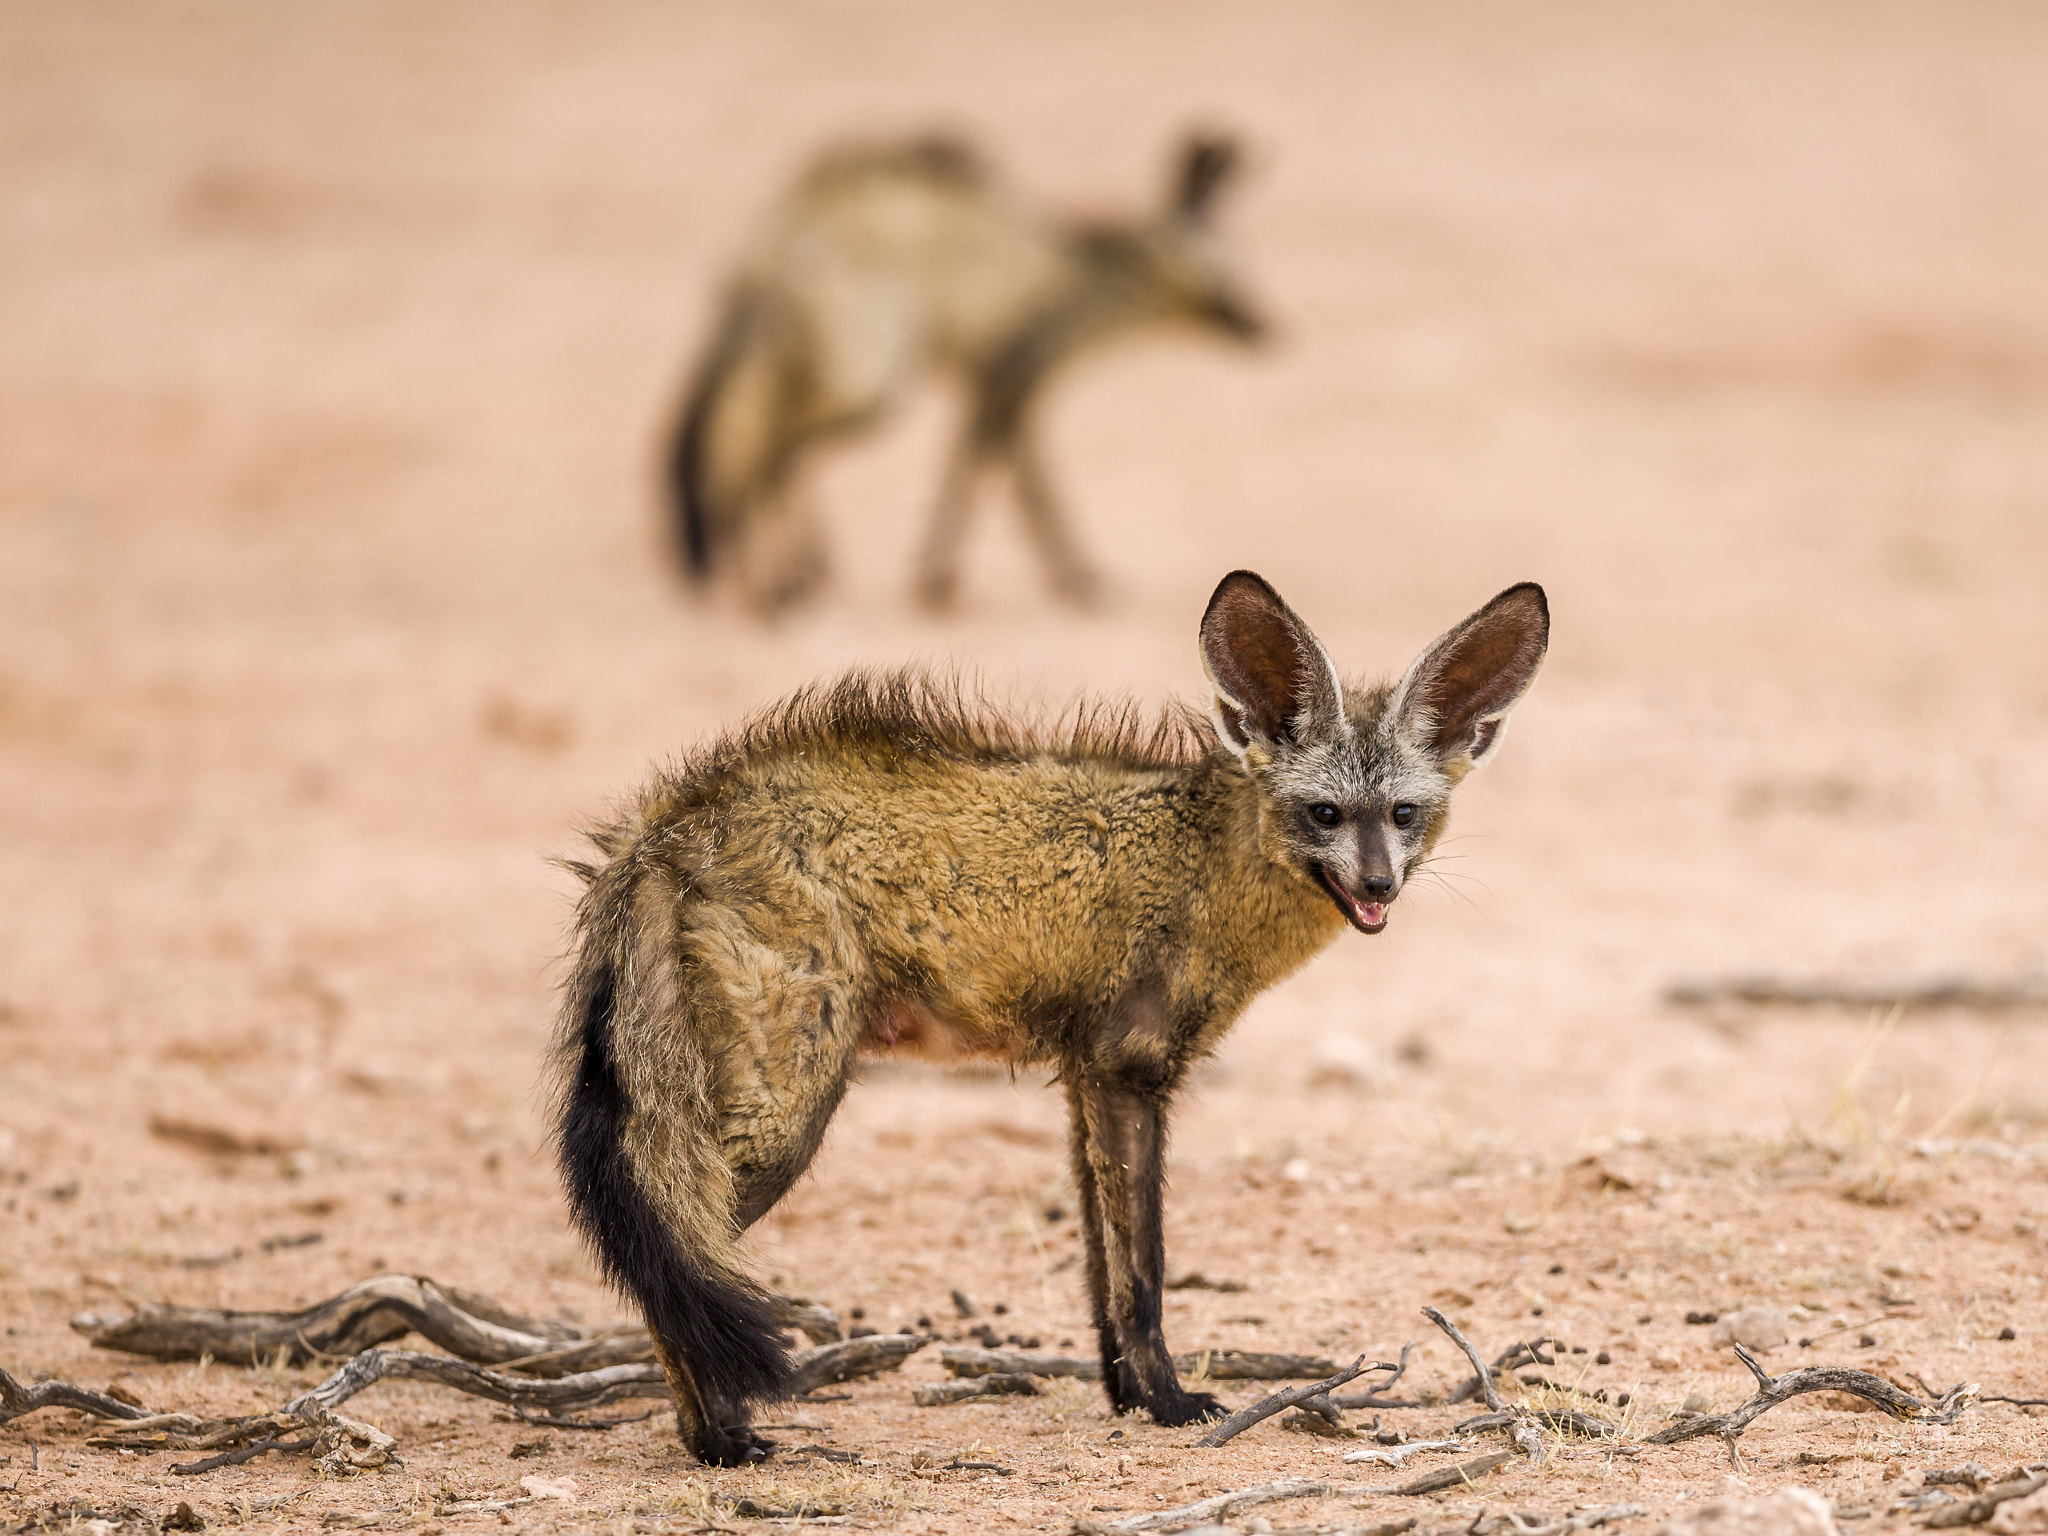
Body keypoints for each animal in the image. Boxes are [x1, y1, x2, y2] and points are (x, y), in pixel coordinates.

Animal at [552, 569, 1540, 1466]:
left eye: (1404, 815)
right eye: (1324, 813)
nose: (1378, 887)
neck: (1202, 865)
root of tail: (667, 821)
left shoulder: (1082, 1079)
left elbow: (1102, 1272)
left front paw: (1127, 1397)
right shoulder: (1127, 1069)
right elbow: (1143, 1271)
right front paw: (1171, 1405)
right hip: (784, 1115)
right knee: (675, 1260)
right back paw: (721, 1442)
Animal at [663, 132, 1261, 614]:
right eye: (1229, 277)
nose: (1266, 327)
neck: (1081, 278)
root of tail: (771, 243)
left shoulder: (995, 387)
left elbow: (985, 469)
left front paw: (945, 580)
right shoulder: (1007, 379)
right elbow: (1014, 483)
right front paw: (1062, 581)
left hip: (829, 369)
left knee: (762, 444)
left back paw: (786, 577)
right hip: (869, 379)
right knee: (754, 444)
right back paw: (769, 587)